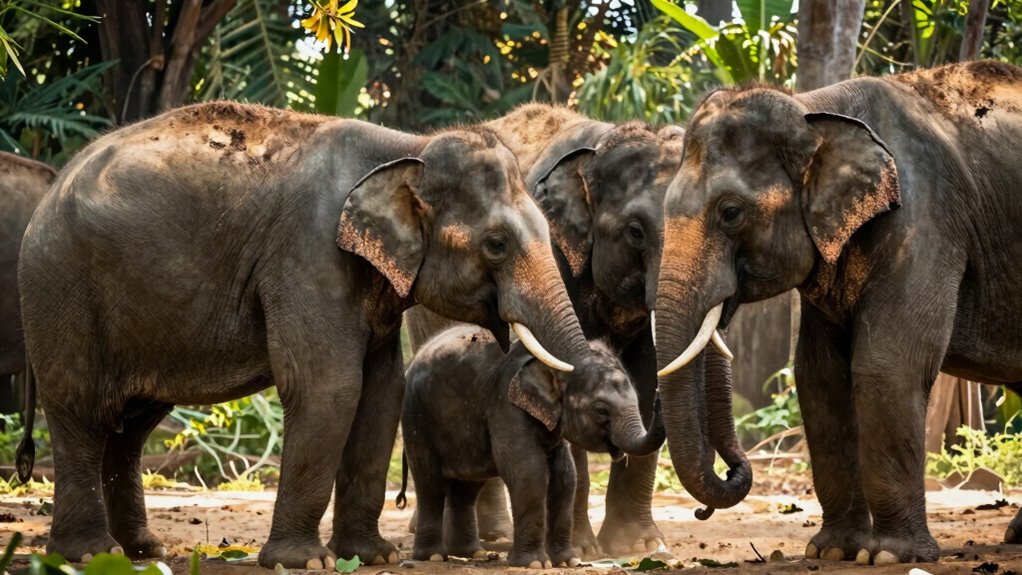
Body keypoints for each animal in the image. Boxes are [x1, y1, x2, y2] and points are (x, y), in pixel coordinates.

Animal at [15, 101, 628, 569]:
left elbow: (381, 391)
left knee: (131, 425)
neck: (408, 146)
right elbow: (329, 386)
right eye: (496, 244)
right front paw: (303, 562)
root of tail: (49, 192)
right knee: (80, 411)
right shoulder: (308, 255)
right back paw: (88, 554)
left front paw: (372, 556)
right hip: (62, 292)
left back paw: (141, 551)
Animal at [398, 324, 664, 568]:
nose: (659, 396)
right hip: (416, 417)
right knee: (430, 484)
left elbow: (565, 477)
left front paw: (568, 561)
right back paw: (433, 556)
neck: (552, 362)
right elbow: (528, 472)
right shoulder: (506, 406)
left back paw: (471, 553)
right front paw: (534, 564)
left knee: (467, 487)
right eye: (600, 410)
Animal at [653, 60, 1022, 566]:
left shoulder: (925, 219)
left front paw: (890, 557)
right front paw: (833, 551)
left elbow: (886, 366)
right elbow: (819, 376)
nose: (702, 511)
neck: (814, 110)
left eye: (730, 212)